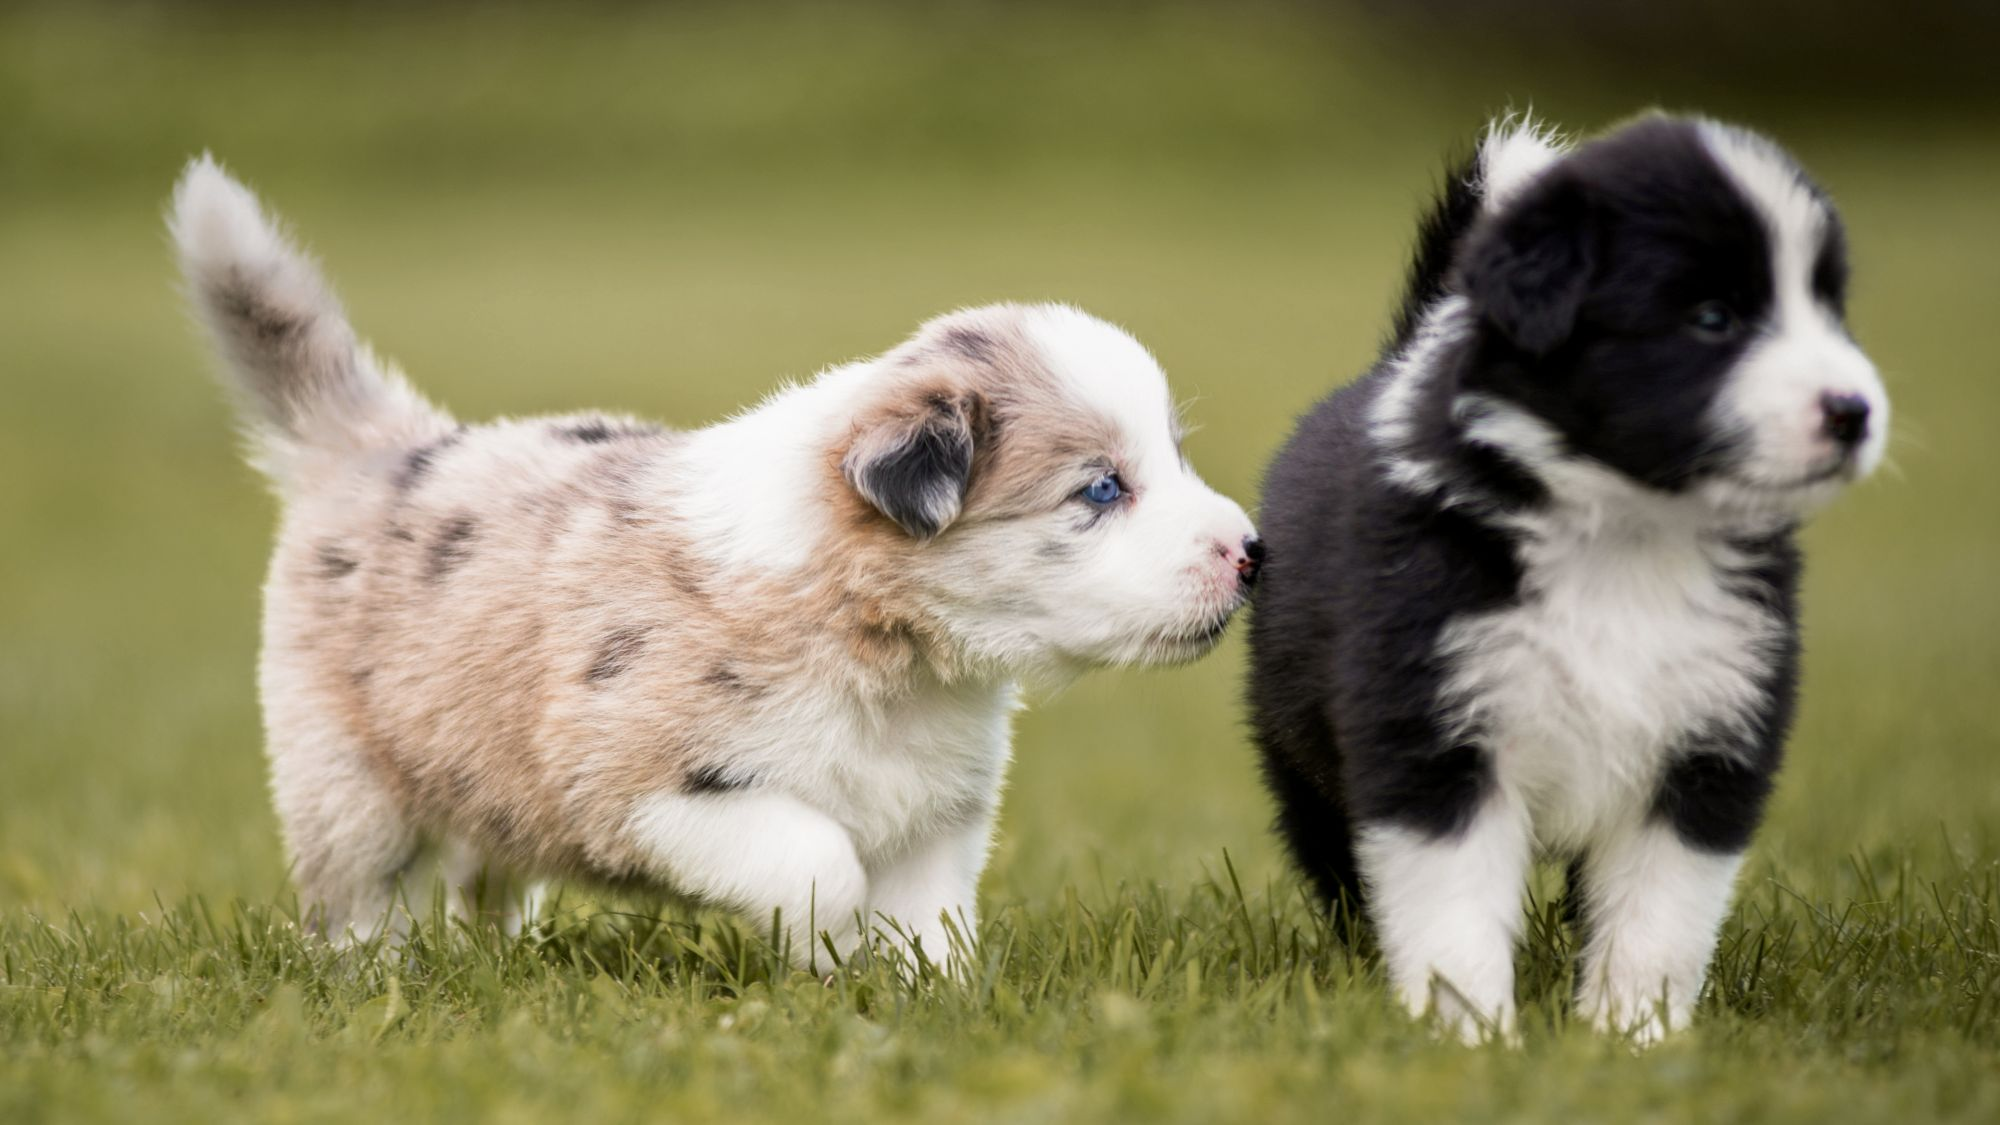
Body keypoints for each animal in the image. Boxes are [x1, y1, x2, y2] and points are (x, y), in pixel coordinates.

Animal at [176, 155, 1264, 964]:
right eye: (1100, 489)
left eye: (1172, 456)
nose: (1254, 552)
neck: (886, 649)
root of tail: (385, 444)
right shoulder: (647, 781)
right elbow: (820, 863)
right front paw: (829, 953)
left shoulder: (937, 811)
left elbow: (929, 921)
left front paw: (927, 1001)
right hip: (347, 781)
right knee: (366, 897)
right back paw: (377, 974)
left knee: (484, 875)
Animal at [1248, 118, 1888, 1040]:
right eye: (1712, 317)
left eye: (1827, 309)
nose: (1854, 412)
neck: (1625, 537)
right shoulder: (1432, 729)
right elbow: (1452, 909)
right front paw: (1471, 1034)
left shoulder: (1713, 733)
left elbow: (1659, 915)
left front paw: (1632, 1036)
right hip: (1303, 753)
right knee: (1338, 865)